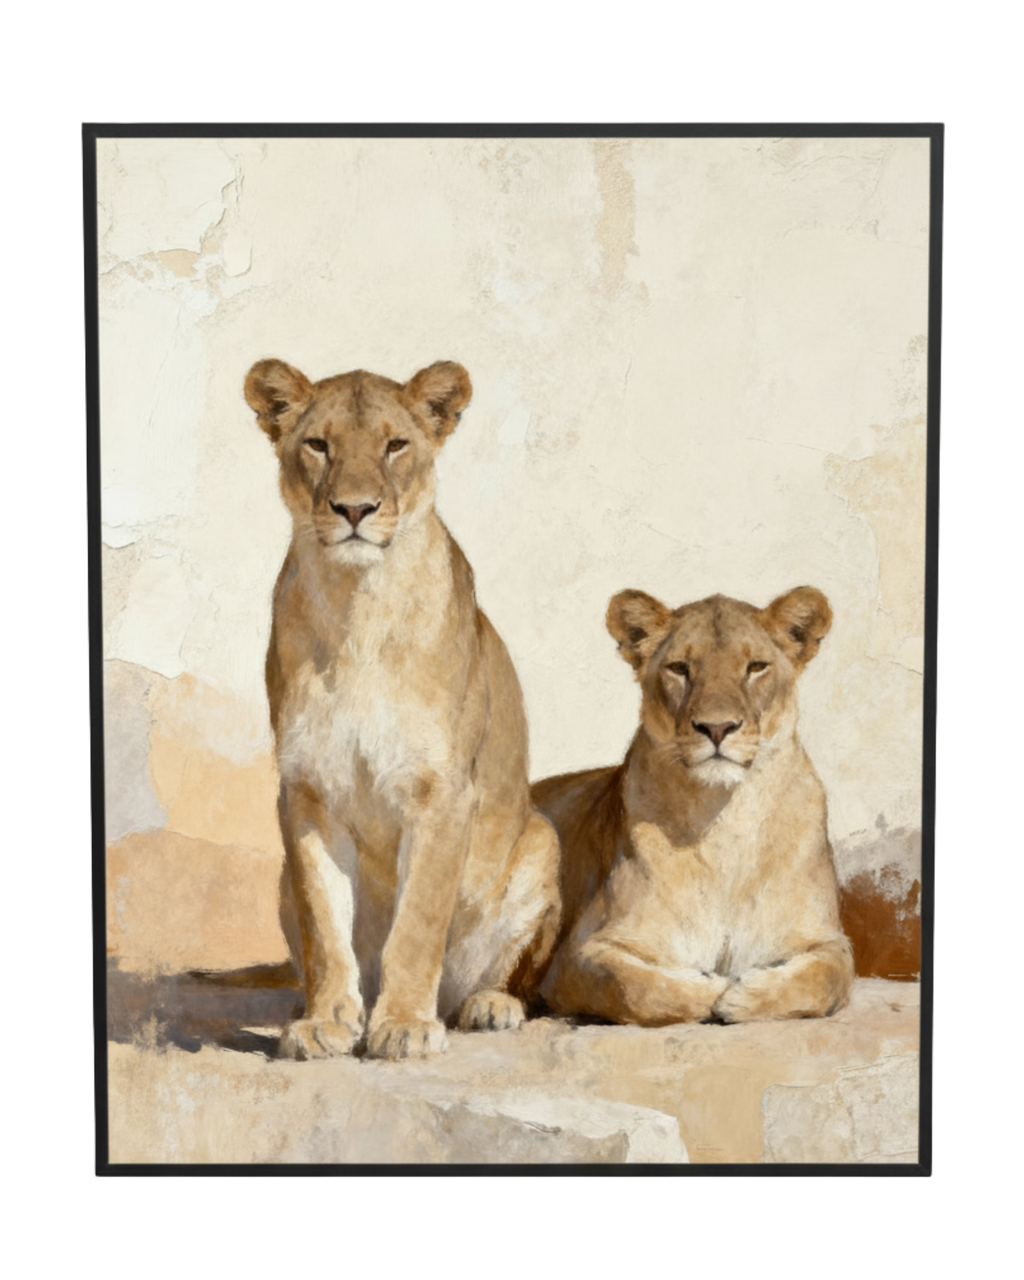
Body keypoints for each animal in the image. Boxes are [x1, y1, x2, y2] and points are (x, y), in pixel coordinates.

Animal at [244, 357, 561, 1061]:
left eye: (395, 445)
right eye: (319, 444)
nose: (354, 509)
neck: (357, 606)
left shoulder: (441, 792)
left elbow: (417, 923)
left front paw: (406, 1025)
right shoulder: (304, 792)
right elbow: (324, 921)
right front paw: (326, 1021)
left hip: (540, 841)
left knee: (509, 976)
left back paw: (485, 1006)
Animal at [531, 586, 854, 1026]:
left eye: (756, 667)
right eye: (680, 668)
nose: (717, 728)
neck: (723, 821)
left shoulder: (828, 940)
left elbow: (827, 979)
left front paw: (745, 995)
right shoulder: (577, 955)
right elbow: (631, 987)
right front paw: (713, 987)